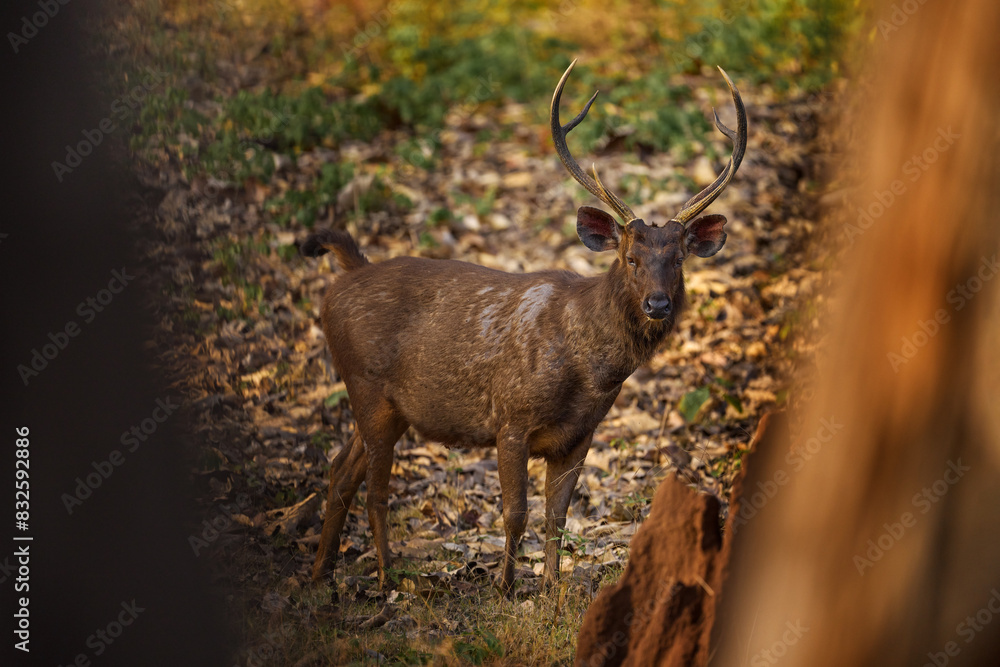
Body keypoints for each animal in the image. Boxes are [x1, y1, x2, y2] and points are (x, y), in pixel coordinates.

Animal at [303, 60, 747, 595]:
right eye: (631, 258)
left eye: (679, 259)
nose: (658, 303)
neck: (587, 372)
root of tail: (345, 275)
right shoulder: (509, 418)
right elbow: (515, 513)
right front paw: (506, 587)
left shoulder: (579, 436)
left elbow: (557, 517)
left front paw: (552, 590)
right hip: (366, 387)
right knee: (375, 488)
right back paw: (391, 578)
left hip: (384, 404)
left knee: (339, 471)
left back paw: (322, 572)